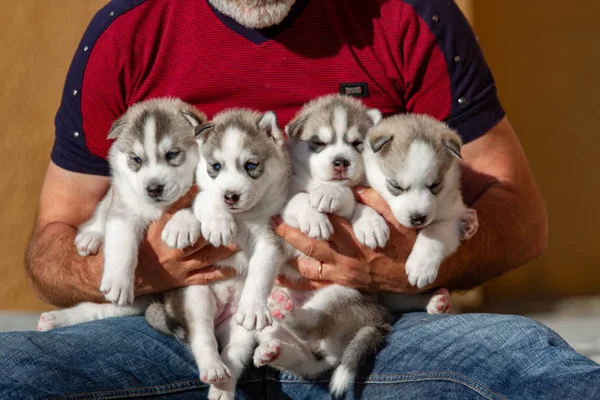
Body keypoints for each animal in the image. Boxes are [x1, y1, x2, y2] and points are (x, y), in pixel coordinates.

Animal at [149, 108, 290, 398]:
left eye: (251, 166)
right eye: (215, 167)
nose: (231, 196)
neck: (244, 217)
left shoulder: (270, 238)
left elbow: (261, 271)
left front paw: (253, 307)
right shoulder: (204, 193)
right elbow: (203, 198)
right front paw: (213, 222)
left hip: (239, 329)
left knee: (235, 355)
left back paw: (239, 373)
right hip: (197, 296)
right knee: (202, 338)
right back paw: (213, 368)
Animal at [364, 114, 480, 290]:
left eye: (435, 185)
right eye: (396, 186)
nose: (418, 218)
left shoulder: (450, 217)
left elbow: (434, 231)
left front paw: (421, 266)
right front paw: (371, 224)